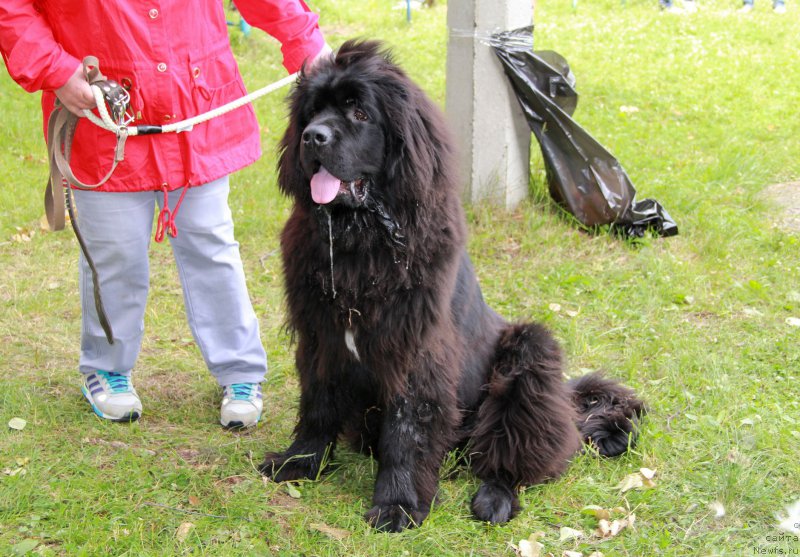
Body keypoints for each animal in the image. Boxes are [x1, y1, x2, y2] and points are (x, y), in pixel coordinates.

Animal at [260, 40, 648, 528]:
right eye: (312, 112)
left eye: (360, 113)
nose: (313, 137)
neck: (360, 245)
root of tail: (569, 398)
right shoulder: (321, 336)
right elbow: (317, 403)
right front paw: (300, 461)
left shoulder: (416, 350)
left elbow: (406, 429)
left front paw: (398, 504)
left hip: (530, 357)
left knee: (516, 446)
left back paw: (495, 496)